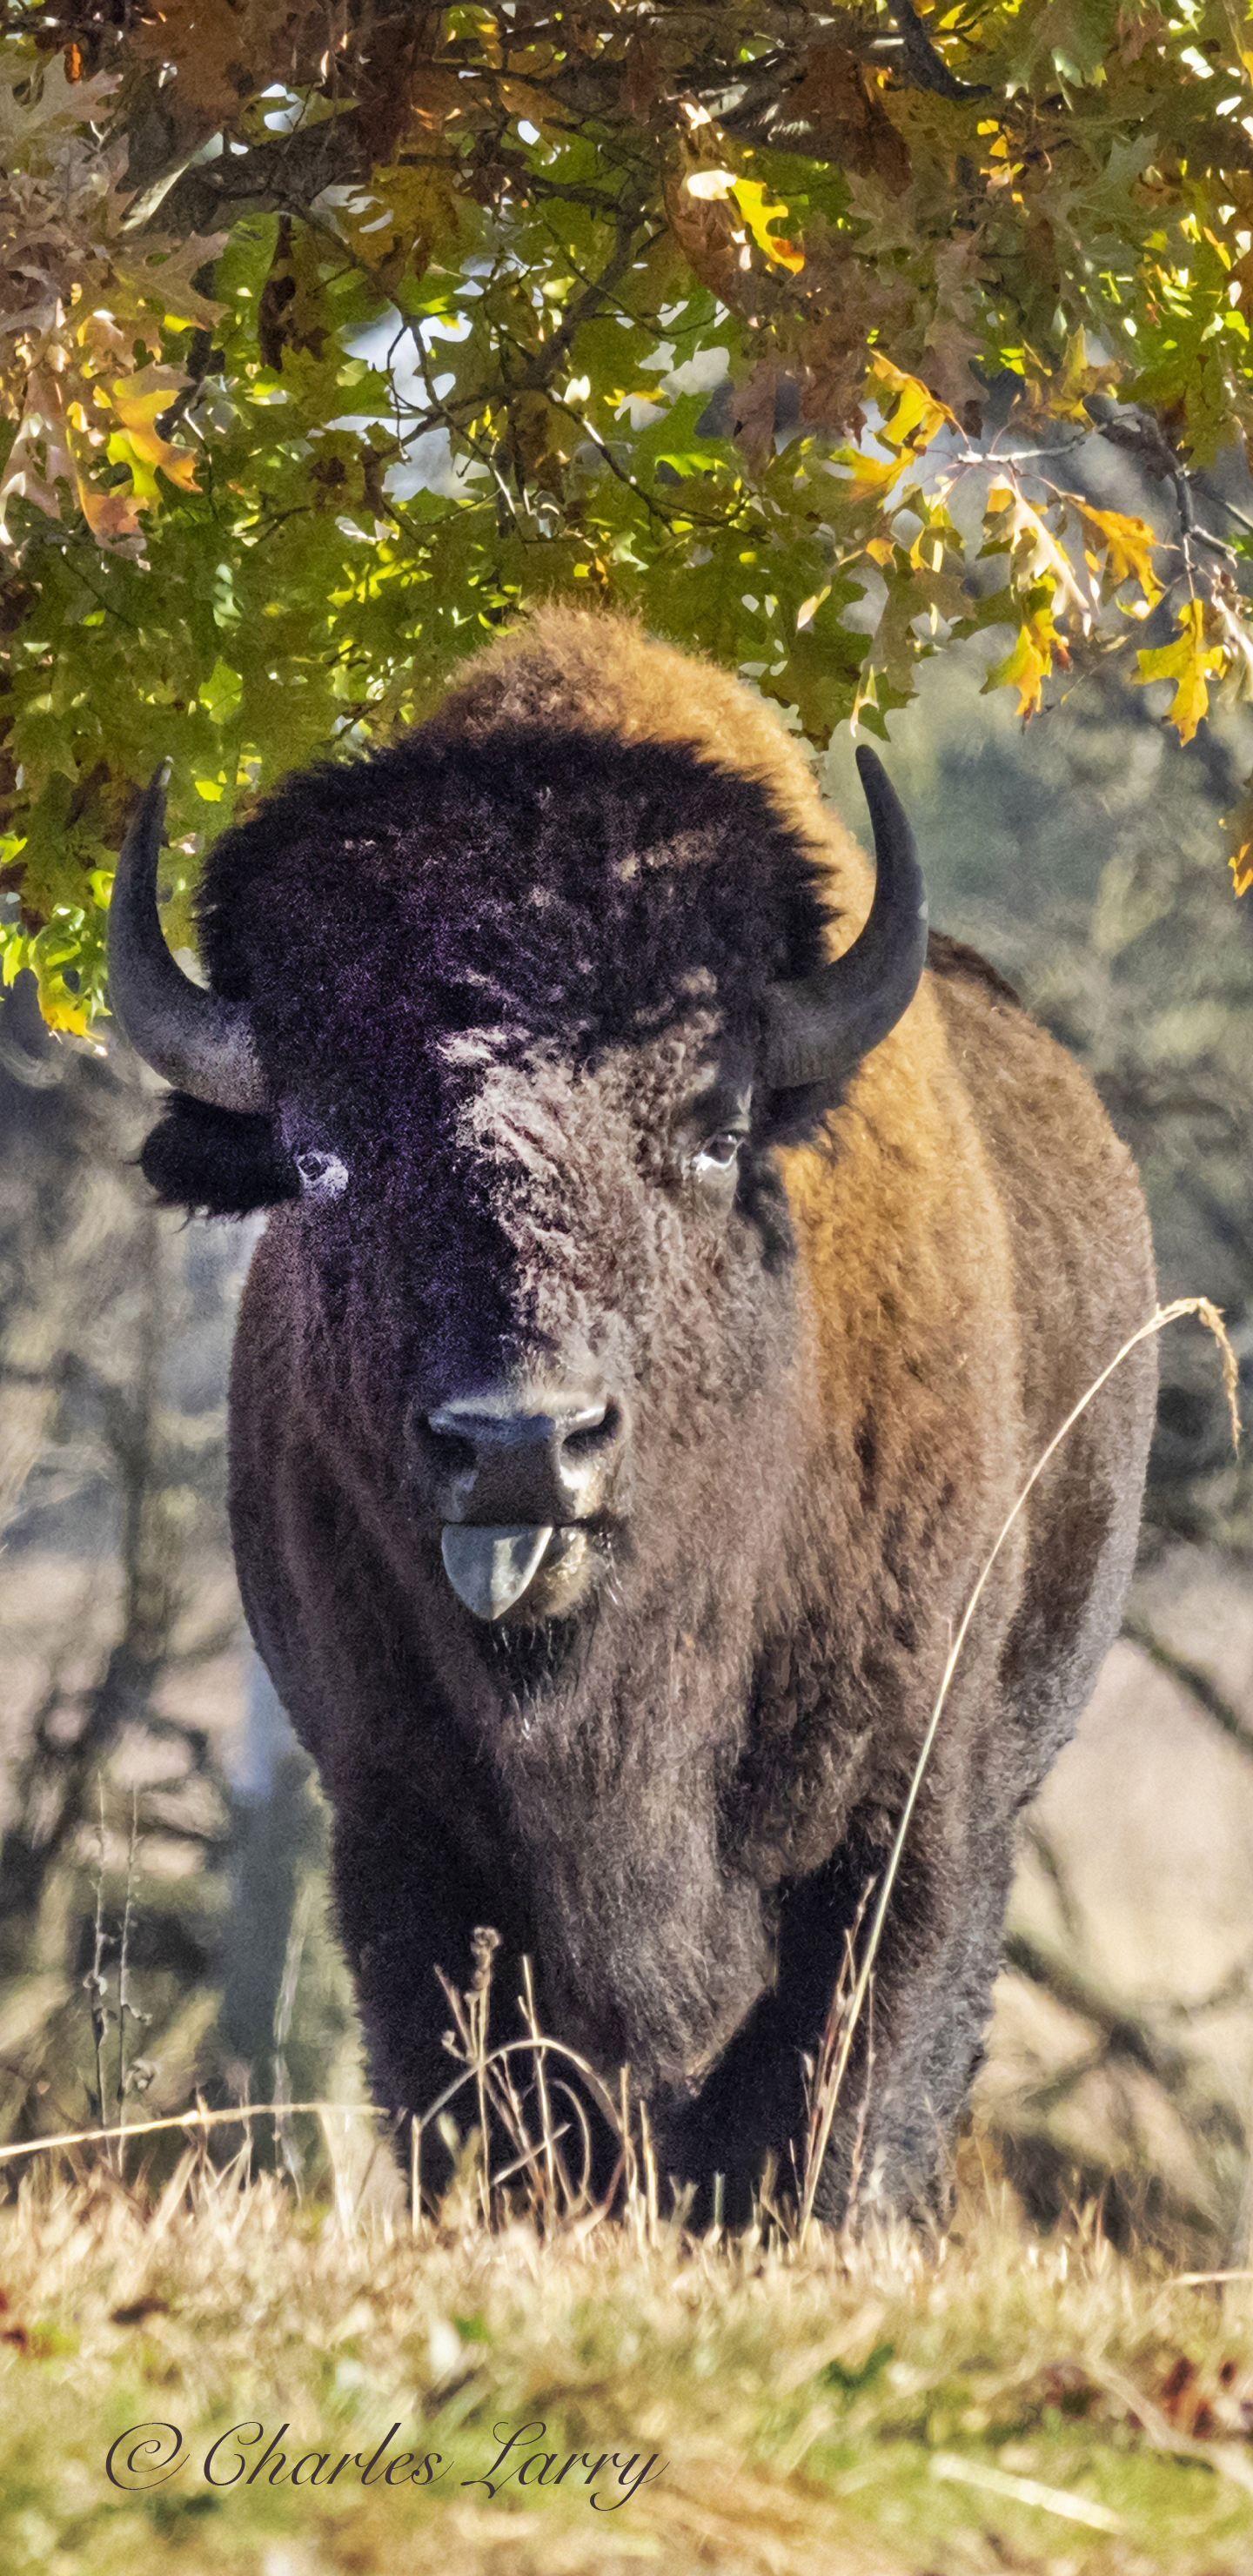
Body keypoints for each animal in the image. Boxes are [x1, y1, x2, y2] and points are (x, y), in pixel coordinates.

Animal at [109, 611, 1156, 2221]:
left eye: (713, 1134)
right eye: (323, 1155)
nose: (520, 1446)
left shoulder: (910, 1817)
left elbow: (837, 2105)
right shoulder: (395, 1818)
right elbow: (473, 2094)